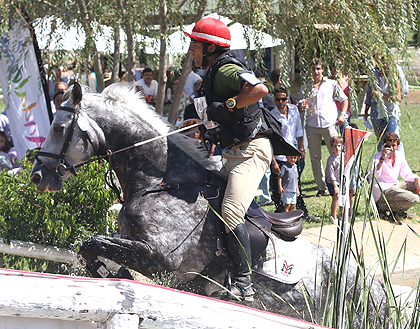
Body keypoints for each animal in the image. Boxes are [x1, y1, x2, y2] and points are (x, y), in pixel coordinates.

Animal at [31, 82, 388, 326]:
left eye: (59, 127)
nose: (37, 175)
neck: (162, 182)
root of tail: (374, 284)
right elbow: (91, 246)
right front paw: (107, 272)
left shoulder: (160, 258)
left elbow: (93, 243)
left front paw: (109, 272)